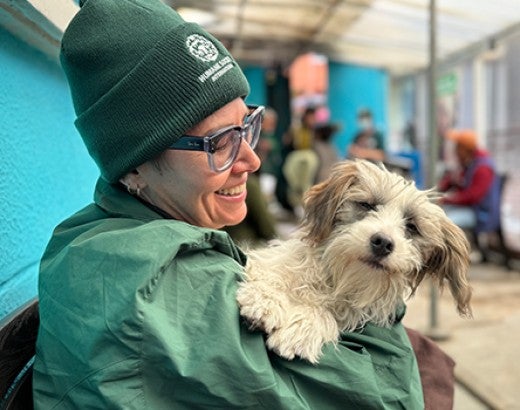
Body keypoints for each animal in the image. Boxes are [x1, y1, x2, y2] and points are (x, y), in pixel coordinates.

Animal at [238, 159, 474, 364]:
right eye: (367, 205)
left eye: (412, 226)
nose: (383, 243)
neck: (337, 283)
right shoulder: (270, 261)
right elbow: (273, 273)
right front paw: (266, 301)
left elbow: (324, 314)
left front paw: (303, 329)